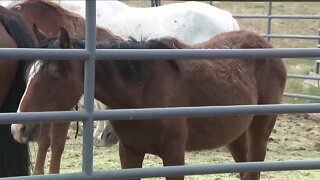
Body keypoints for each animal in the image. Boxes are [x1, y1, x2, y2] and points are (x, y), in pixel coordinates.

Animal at [5, 0, 120, 174]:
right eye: (27, 74)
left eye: (55, 75)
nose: (18, 128)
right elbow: (45, 142)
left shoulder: (62, 106)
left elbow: (56, 144)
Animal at [12, 27, 288, 180]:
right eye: (27, 74)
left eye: (55, 75)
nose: (19, 128)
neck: (143, 91)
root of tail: (265, 45)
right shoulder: (130, 153)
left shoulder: (174, 156)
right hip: (237, 137)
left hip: (259, 132)